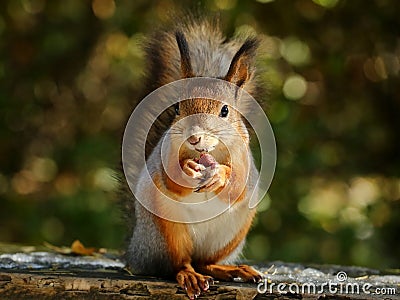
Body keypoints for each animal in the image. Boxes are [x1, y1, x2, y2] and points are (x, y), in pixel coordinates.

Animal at [123, 16, 264, 300]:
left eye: (225, 111)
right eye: (178, 107)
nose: (194, 138)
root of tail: (135, 250)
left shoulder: (244, 160)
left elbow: (238, 185)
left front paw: (220, 175)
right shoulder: (165, 153)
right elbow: (170, 180)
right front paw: (186, 168)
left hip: (231, 235)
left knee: (204, 262)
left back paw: (233, 269)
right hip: (166, 232)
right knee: (180, 263)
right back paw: (190, 276)